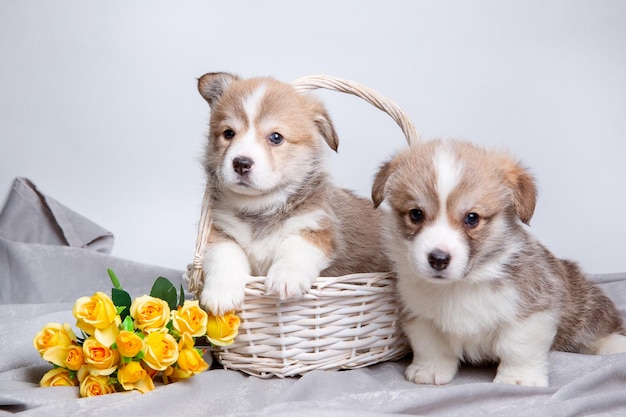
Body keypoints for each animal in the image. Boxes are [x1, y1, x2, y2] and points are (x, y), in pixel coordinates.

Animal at [195, 72, 390, 312]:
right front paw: (220, 294)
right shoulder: (220, 232)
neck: (260, 208)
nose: (241, 163)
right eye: (229, 133)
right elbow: (225, 254)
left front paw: (285, 279)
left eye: (276, 137)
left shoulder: (318, 228)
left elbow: (295, 247)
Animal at [370, 138, 624, 386]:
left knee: (599, 327)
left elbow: (518, 348)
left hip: (585, 306)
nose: (438, 259)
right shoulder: (419, 316)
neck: (459, 286)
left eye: (472, 218)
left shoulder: (531, 311)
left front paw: (518, 378)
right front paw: (430, 370)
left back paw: (614, 345)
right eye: (416, 214)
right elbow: (431, 347)